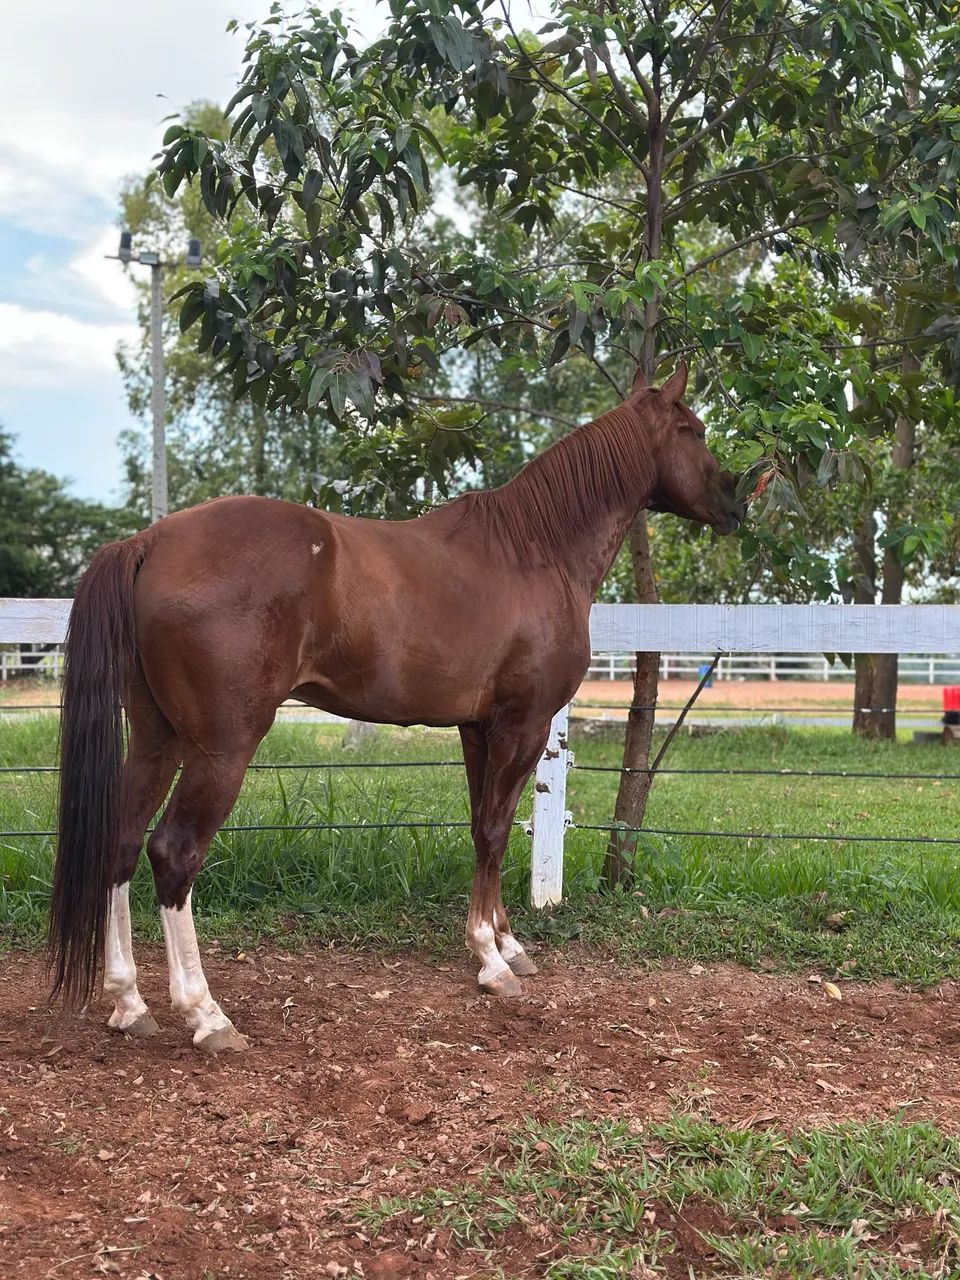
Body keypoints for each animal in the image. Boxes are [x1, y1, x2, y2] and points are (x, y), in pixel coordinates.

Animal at [48, 361, 743, 1052]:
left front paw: (507, 944)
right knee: (174, 852)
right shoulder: (523, 725)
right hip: (221, 748)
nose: (736, 504)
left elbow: (483, 827)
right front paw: (490, 961)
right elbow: (496, 828)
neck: (534, 550)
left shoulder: (478, 729)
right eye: (694, 429)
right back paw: (205, 1014)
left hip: (157, 736)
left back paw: (129, 1003)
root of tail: (151, 541)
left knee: (121, 840)